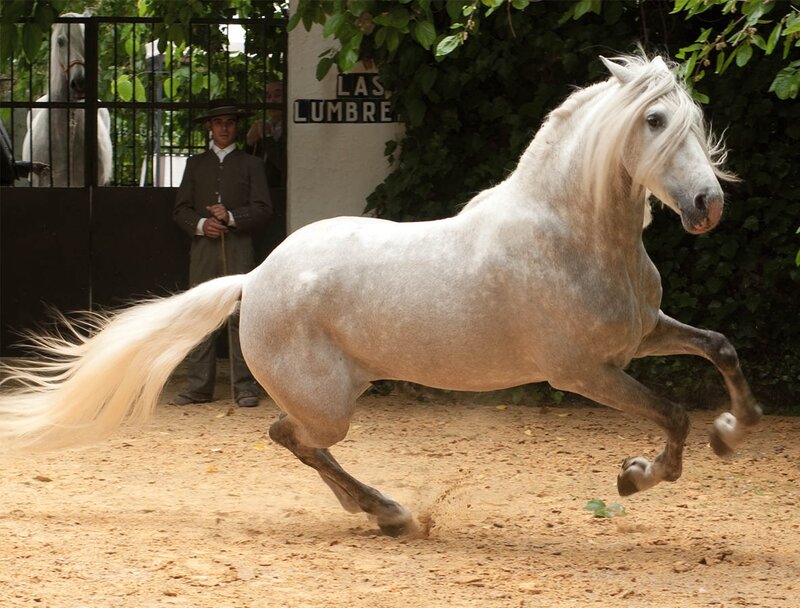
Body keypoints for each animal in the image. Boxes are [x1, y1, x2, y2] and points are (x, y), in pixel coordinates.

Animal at [0, 54, 761, 536]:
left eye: (694, 120)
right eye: (655, 121)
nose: (708, 205)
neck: (571, 233)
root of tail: (252, 278)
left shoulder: (642, 334)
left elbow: (720, 348)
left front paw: (735, 427)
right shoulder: (583, 372)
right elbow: (672, 415)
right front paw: (640, 475)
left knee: (294, 440)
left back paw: (382, 512)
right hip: (329, 405)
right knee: (290, 437)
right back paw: (389, 513)